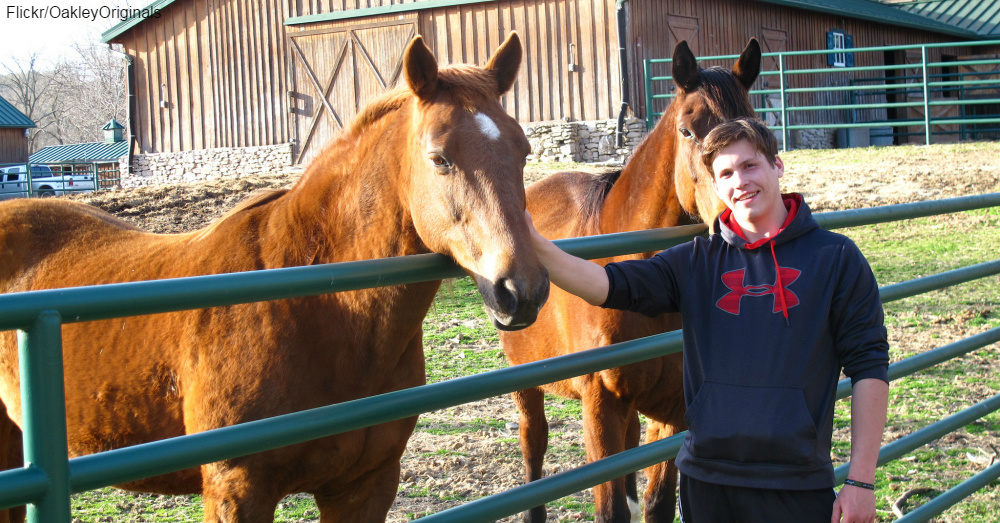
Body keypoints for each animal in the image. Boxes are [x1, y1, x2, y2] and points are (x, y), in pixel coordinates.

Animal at [0, 32, 549, 523]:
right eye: (439, 158)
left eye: (523, 150)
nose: (521, 290)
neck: (316, 306)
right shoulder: (236, 490)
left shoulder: (364, 486)